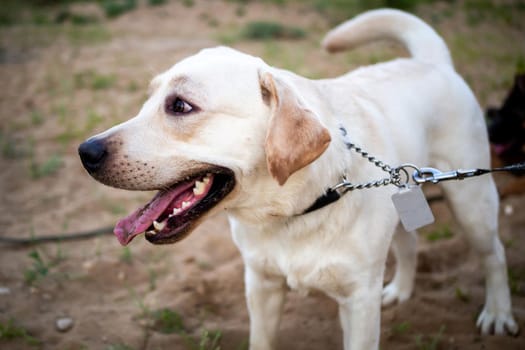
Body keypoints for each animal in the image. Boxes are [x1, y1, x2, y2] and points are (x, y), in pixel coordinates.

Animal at [78, 8, 516, 350]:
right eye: (147, 99)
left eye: (181, 106)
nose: (86, 152)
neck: (295, 210)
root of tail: (432, 62)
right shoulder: (261, 286)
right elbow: (261, 340)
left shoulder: (358, 301)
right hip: (402, 193)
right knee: (409, 244)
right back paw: (400, 290)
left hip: (472, 199)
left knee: (493, 253)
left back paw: (498, 313)